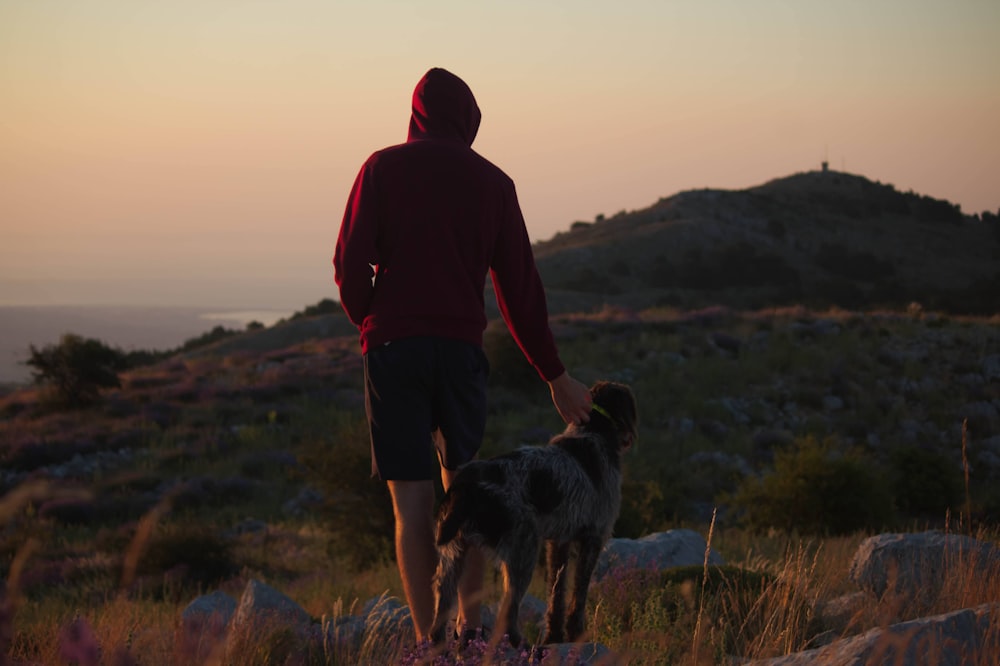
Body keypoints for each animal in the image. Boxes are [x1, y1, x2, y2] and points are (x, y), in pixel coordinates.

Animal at [428, 382, 632, 644]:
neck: (592, 431)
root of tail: (465, 485)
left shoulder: (559, 542)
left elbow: (557, 592)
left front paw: (555, 637)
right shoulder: (593, 538)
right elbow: (578, 594)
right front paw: (576, 635)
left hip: (454, 552)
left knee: (443, 598)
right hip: (523, 550)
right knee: (508, 609)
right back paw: (519, 642)